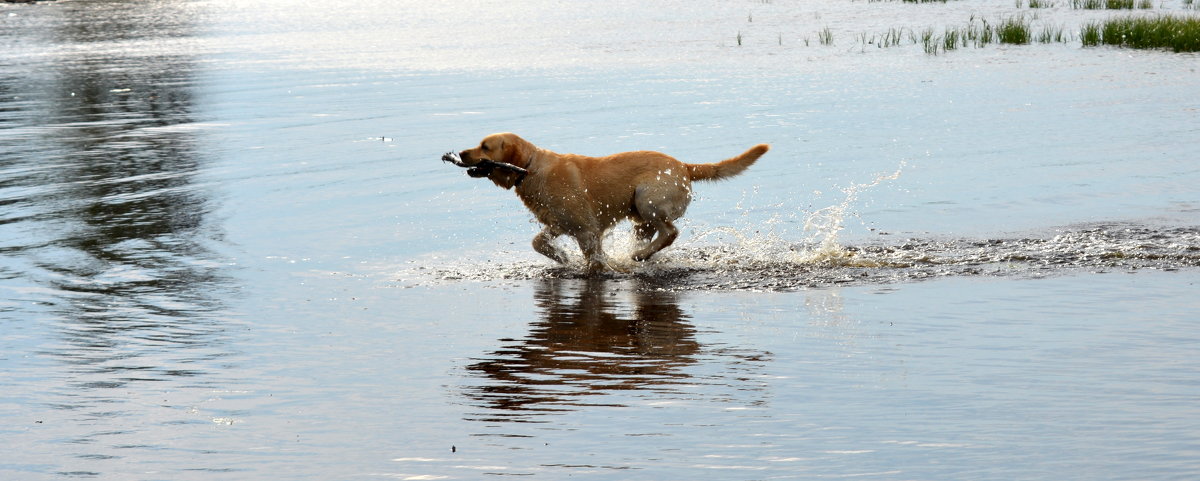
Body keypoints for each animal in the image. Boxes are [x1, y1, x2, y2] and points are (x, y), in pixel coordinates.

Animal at [441, 133, 768, 272]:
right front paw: (562, 257)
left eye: (485, 147)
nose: (460, 153)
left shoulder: (586, 230)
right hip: (639, 216)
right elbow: (538, 243)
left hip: (647, 199)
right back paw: (641, 255)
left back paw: (639, 255)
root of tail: (684, 166)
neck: (531, 169)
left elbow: (595, 261)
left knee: (671, 231)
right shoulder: (558, 224)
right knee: (657, 235)